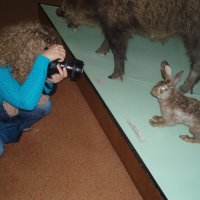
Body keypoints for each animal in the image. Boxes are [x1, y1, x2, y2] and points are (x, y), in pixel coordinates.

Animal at [55, 0, 200, 93]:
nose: (58, 11)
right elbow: (108, 40)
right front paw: (99, 51)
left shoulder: (116, 22)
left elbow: (118, 50)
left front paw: (113, 76)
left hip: (193, 34)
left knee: (196, 64)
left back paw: (182, 90)